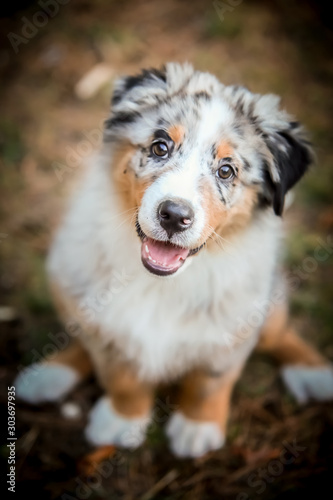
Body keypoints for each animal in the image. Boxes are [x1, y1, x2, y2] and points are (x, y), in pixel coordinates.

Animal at [15, 62, 332, 458]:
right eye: (160, 147)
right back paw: (47, 375)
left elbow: (209, 382)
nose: (174, 215)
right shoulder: (105, 323)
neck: (162, 282)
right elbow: (119, 373)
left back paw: (312, 371)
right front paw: (122, 418)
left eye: (226, 170)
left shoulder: (234, 326)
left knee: (279, 333)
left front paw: (198, 427)